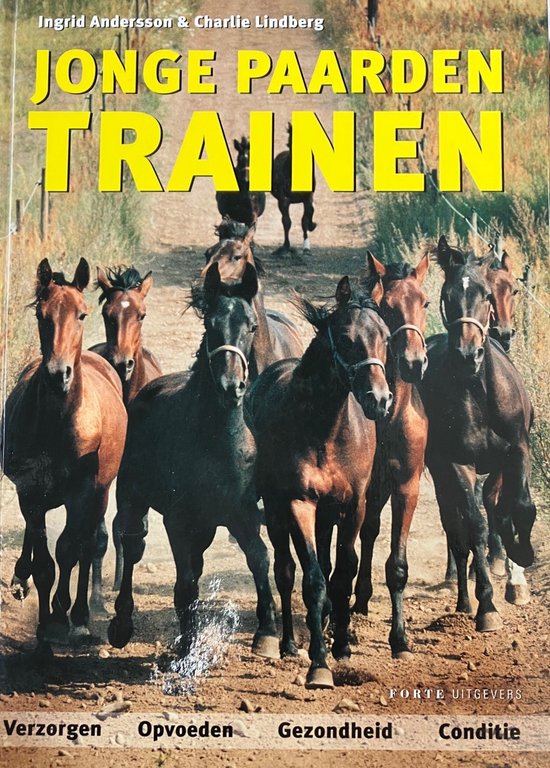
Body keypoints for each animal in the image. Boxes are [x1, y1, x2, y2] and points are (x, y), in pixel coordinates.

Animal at [1, 258, 127, 656]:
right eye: (41, 315)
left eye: (82, 314)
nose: (59, 374)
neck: (59, 423)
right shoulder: (30, 492)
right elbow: (44, 562)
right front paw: (45, 628)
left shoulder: (83, 493)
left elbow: (70, 550)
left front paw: (61, 617)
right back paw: (21, 578)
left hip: (100, 494)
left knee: (87, 544)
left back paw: (81, 616)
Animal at [108, 262, 279, 660]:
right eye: (211, 324)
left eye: (251, 326)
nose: (231, 386)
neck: (217, 441)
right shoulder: (179, 519)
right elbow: (185, 582)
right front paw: (186, 646)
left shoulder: (241, 514)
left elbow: (260, 559)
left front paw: (267, 634)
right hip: (133, 498)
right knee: (132, 545)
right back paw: (122, 625)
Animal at [245, 276, 392, 688]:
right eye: (345, 338)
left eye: (386, 337)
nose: (379, 400)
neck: (325, 428)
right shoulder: (300, 504)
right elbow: (312, 579)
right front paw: (319, 664)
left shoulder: (353, 506)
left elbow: (341, 574)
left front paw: (341, 646)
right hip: (279, 511)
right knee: (284, 570)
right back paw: (287, 643)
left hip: (328, 515)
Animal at [271, 123, 317, 255]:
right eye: (290, 142)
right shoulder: (284, 200)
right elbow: (287, 222)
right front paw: (286, 246)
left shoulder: (308, 197)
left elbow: (306, 217)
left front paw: (306, 246)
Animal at [418, 236, 536, 633]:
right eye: (447, 295)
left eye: (491, 293)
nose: (468, 353)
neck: (479, 390)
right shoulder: (457, 464)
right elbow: (475, 526)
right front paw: (487, 606)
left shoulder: (515, 451)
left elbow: (518, 507)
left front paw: (519, 563)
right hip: (440, 474)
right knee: (456, 530)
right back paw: (464, 598)